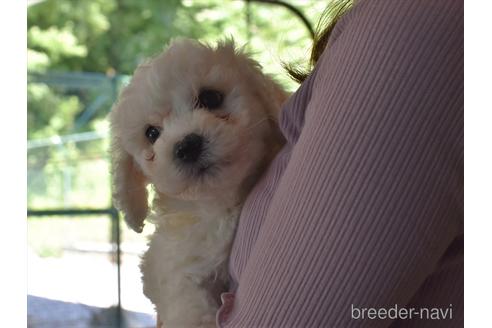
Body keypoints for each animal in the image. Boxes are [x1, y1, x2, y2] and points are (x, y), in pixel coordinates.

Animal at [110, 39, 288, 328]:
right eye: (152, 133)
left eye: (210, 98)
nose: (187, 146)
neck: (221, 202)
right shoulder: (172, 264)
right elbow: (187, 298)